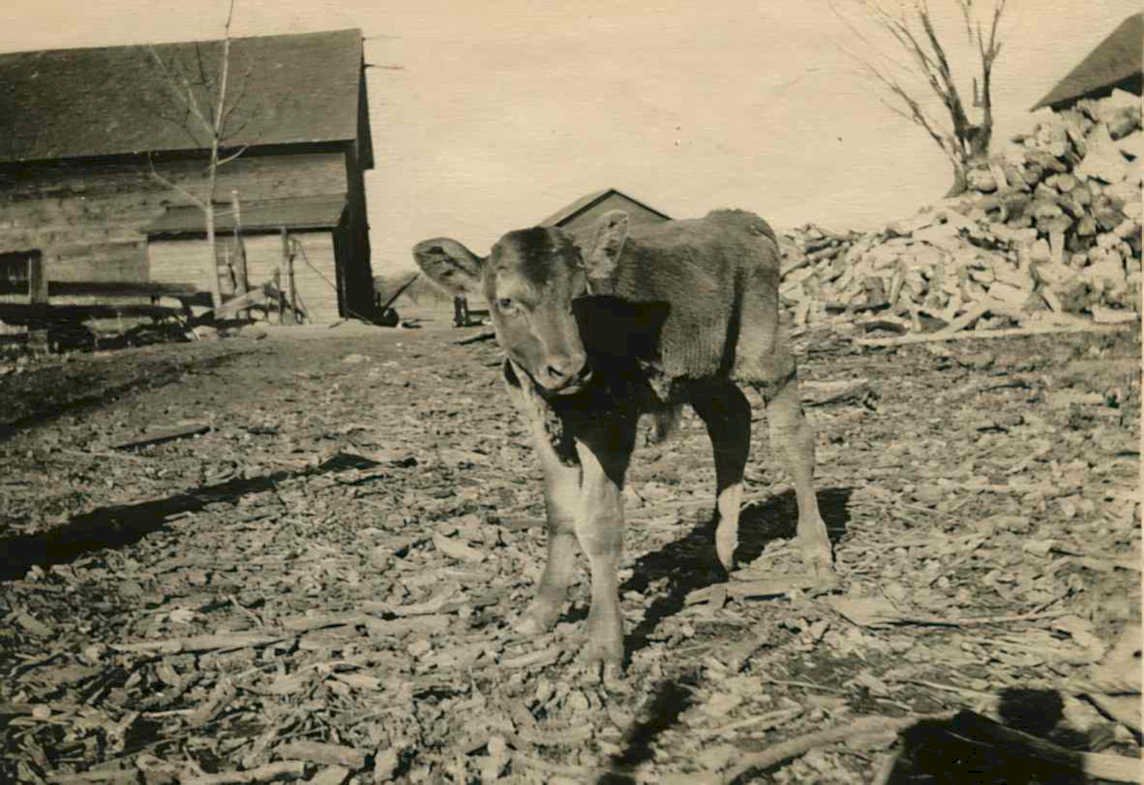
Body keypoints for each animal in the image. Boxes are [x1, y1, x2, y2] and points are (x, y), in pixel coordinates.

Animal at [412, 208, 834, 677]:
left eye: (579, 296)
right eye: (506, 302)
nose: (570, 368)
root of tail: (735, 217)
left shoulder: (611, 427)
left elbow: (598, 524)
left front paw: (602, 644)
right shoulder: (537, 423)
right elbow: (559, 513)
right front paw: (540, 611)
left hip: (763, 346)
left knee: (793, 437)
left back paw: (816, 551)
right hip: (703, 368)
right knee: (731, 422)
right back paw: (719, 549)